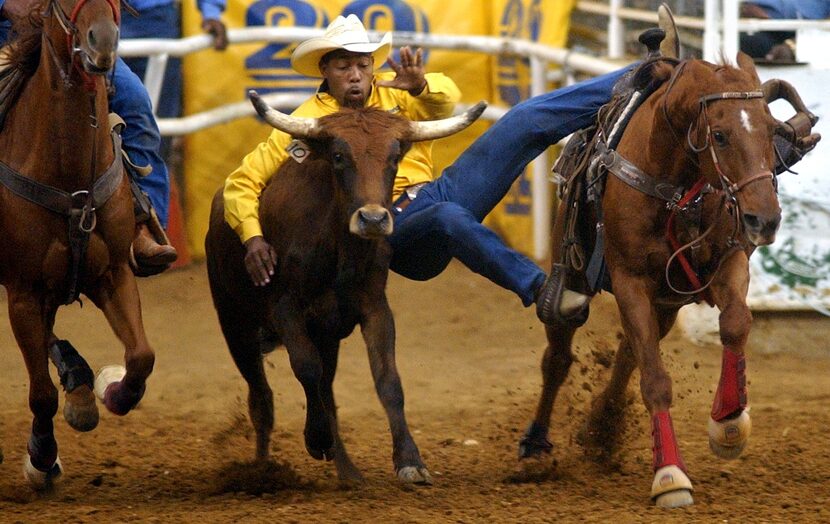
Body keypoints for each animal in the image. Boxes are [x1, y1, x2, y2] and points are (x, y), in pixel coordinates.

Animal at [0, 0, 154, 488]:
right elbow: (40, 394)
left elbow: (141, 357)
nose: (101, 43)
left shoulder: (114, 274)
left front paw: (112, 390)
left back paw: (81, 380)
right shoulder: (23, 292)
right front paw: (42, 456)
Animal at [520, 53, 792, 508]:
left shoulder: (729, 259)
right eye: (720, 135)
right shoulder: (630, 281)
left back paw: (603, 425)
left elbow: (736, 323)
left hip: (665, 305)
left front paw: (729, 422)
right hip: (571, 284)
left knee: (629, 352)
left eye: (772, 129)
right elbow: (656, 381)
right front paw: (669, 475)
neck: (675, 187)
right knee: (557, 360)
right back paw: (535, 449)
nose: (765, 219)